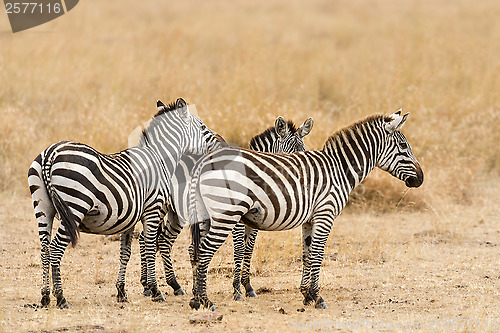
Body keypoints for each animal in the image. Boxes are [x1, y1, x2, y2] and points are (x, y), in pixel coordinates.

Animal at [27, 97, 222, 308]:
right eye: (202, 126)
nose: (221, 142)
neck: (160, 158)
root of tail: (50, 153)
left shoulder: (129, 217)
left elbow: (125, 252)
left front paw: (121, 291)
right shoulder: (152, 210)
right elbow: (150, 247)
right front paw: (155, 290)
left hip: (43, 208)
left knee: (45, 248)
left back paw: (45, 296)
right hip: (75, 205)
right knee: (55, 248)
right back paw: (61, 297)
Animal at [137, 115, 314, 296]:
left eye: (304, 151)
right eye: (289, 154)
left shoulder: (253, 223)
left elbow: (249, 249)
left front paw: (247, 286)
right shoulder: (236, 221)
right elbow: (239, 249)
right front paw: (237, 288)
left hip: (176, 213)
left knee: (161, 240)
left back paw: (167, 285)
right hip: (161, 206)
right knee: (147, 238)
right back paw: (152, 286)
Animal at [188, 110, 422, 310]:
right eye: (403, 146)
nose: (420, 179)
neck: (338, 169)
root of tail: (204, 161)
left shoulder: (310, 220)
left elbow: (307, 254)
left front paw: (306, 294)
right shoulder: (325, 214)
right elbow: (318, 254)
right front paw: (317, 297)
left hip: (206, 216)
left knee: (196, 250)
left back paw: (195, 298)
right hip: (226, 215)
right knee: (205, 250)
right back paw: (205, 301)